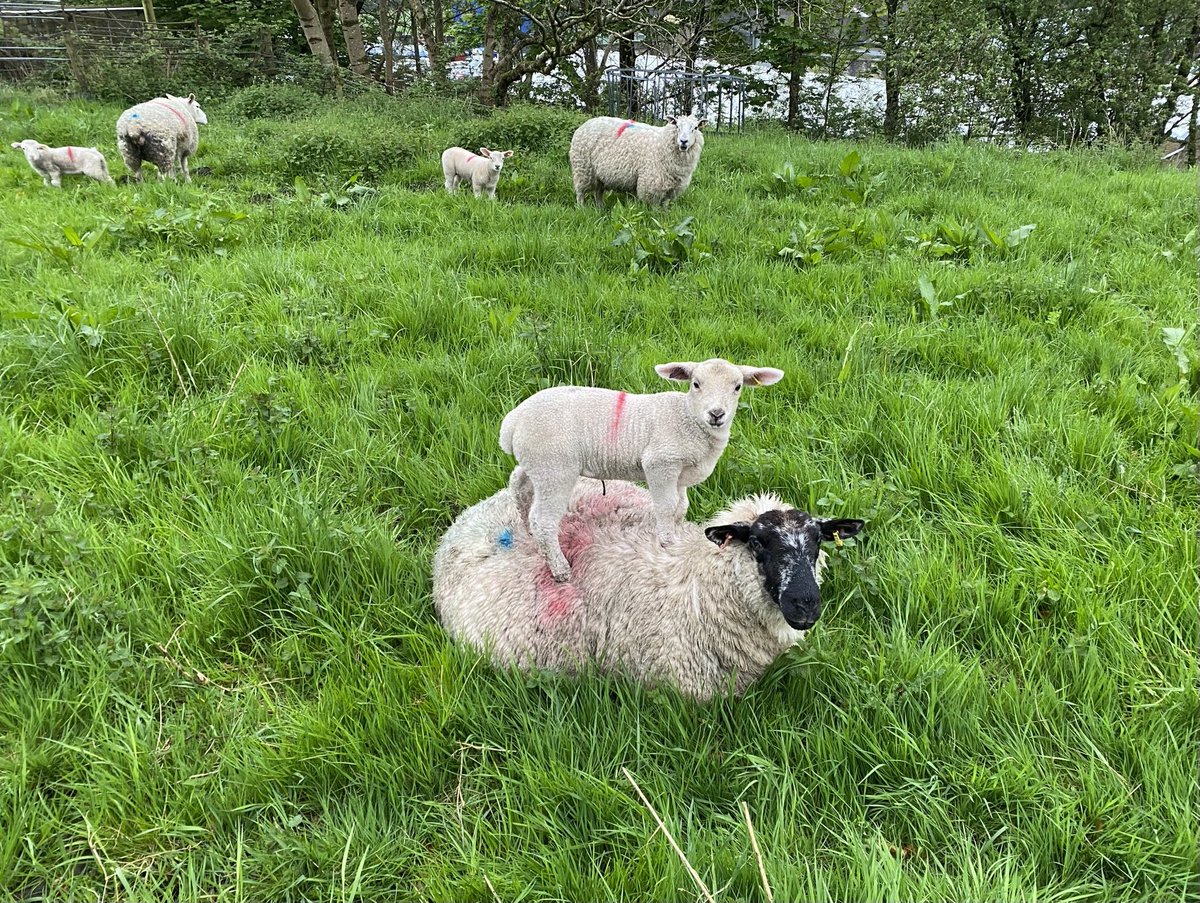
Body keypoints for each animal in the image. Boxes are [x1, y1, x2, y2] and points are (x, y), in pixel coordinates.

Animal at [499, 355, 787, 581]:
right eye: (696, 384)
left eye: (737, 387)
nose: (716, 414)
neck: (688, 418)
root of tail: (512, 422)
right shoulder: (661, 463)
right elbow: (666, 507)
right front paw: (667, 544)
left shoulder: (680, 474)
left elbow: (681, 508)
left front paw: (677, 538)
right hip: (555, 467)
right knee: (544, 519)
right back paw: (560, 569)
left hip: (537, 463)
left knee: (519, 486)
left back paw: (530, 534)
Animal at [568, 113, 705, 207]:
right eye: (677, 126)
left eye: (696, 128)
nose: (683, 141)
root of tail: (586, 124)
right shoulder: (652, 184)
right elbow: (654, 207)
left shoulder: (672, 187)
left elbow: (665, 204)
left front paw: (664, 216)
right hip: (583, 168)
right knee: (580, 192)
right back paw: (582, 208)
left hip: (599, 174)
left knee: (598, 191)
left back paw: (600, 207)